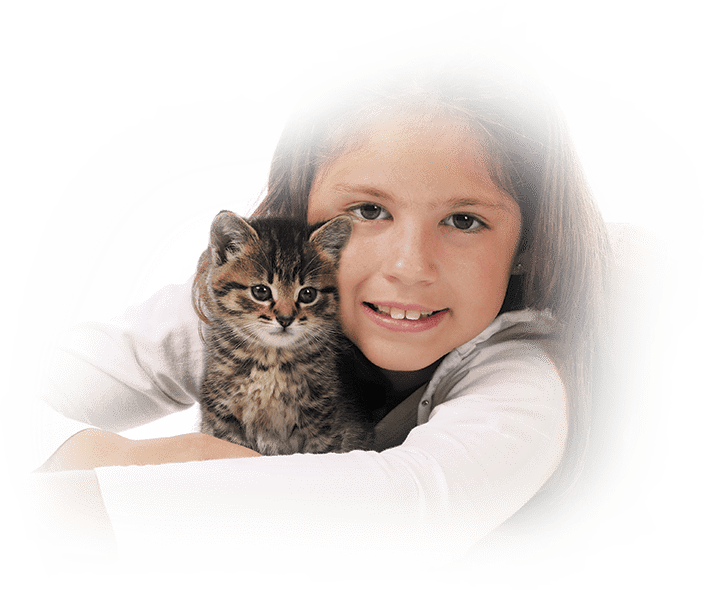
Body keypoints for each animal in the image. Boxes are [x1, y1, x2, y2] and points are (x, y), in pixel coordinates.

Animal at [192, 211, 374, 455]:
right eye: (260, 291)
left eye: (307, 294)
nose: (286, 319)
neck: (270, 360)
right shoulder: (222, 417)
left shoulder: (324, 423)